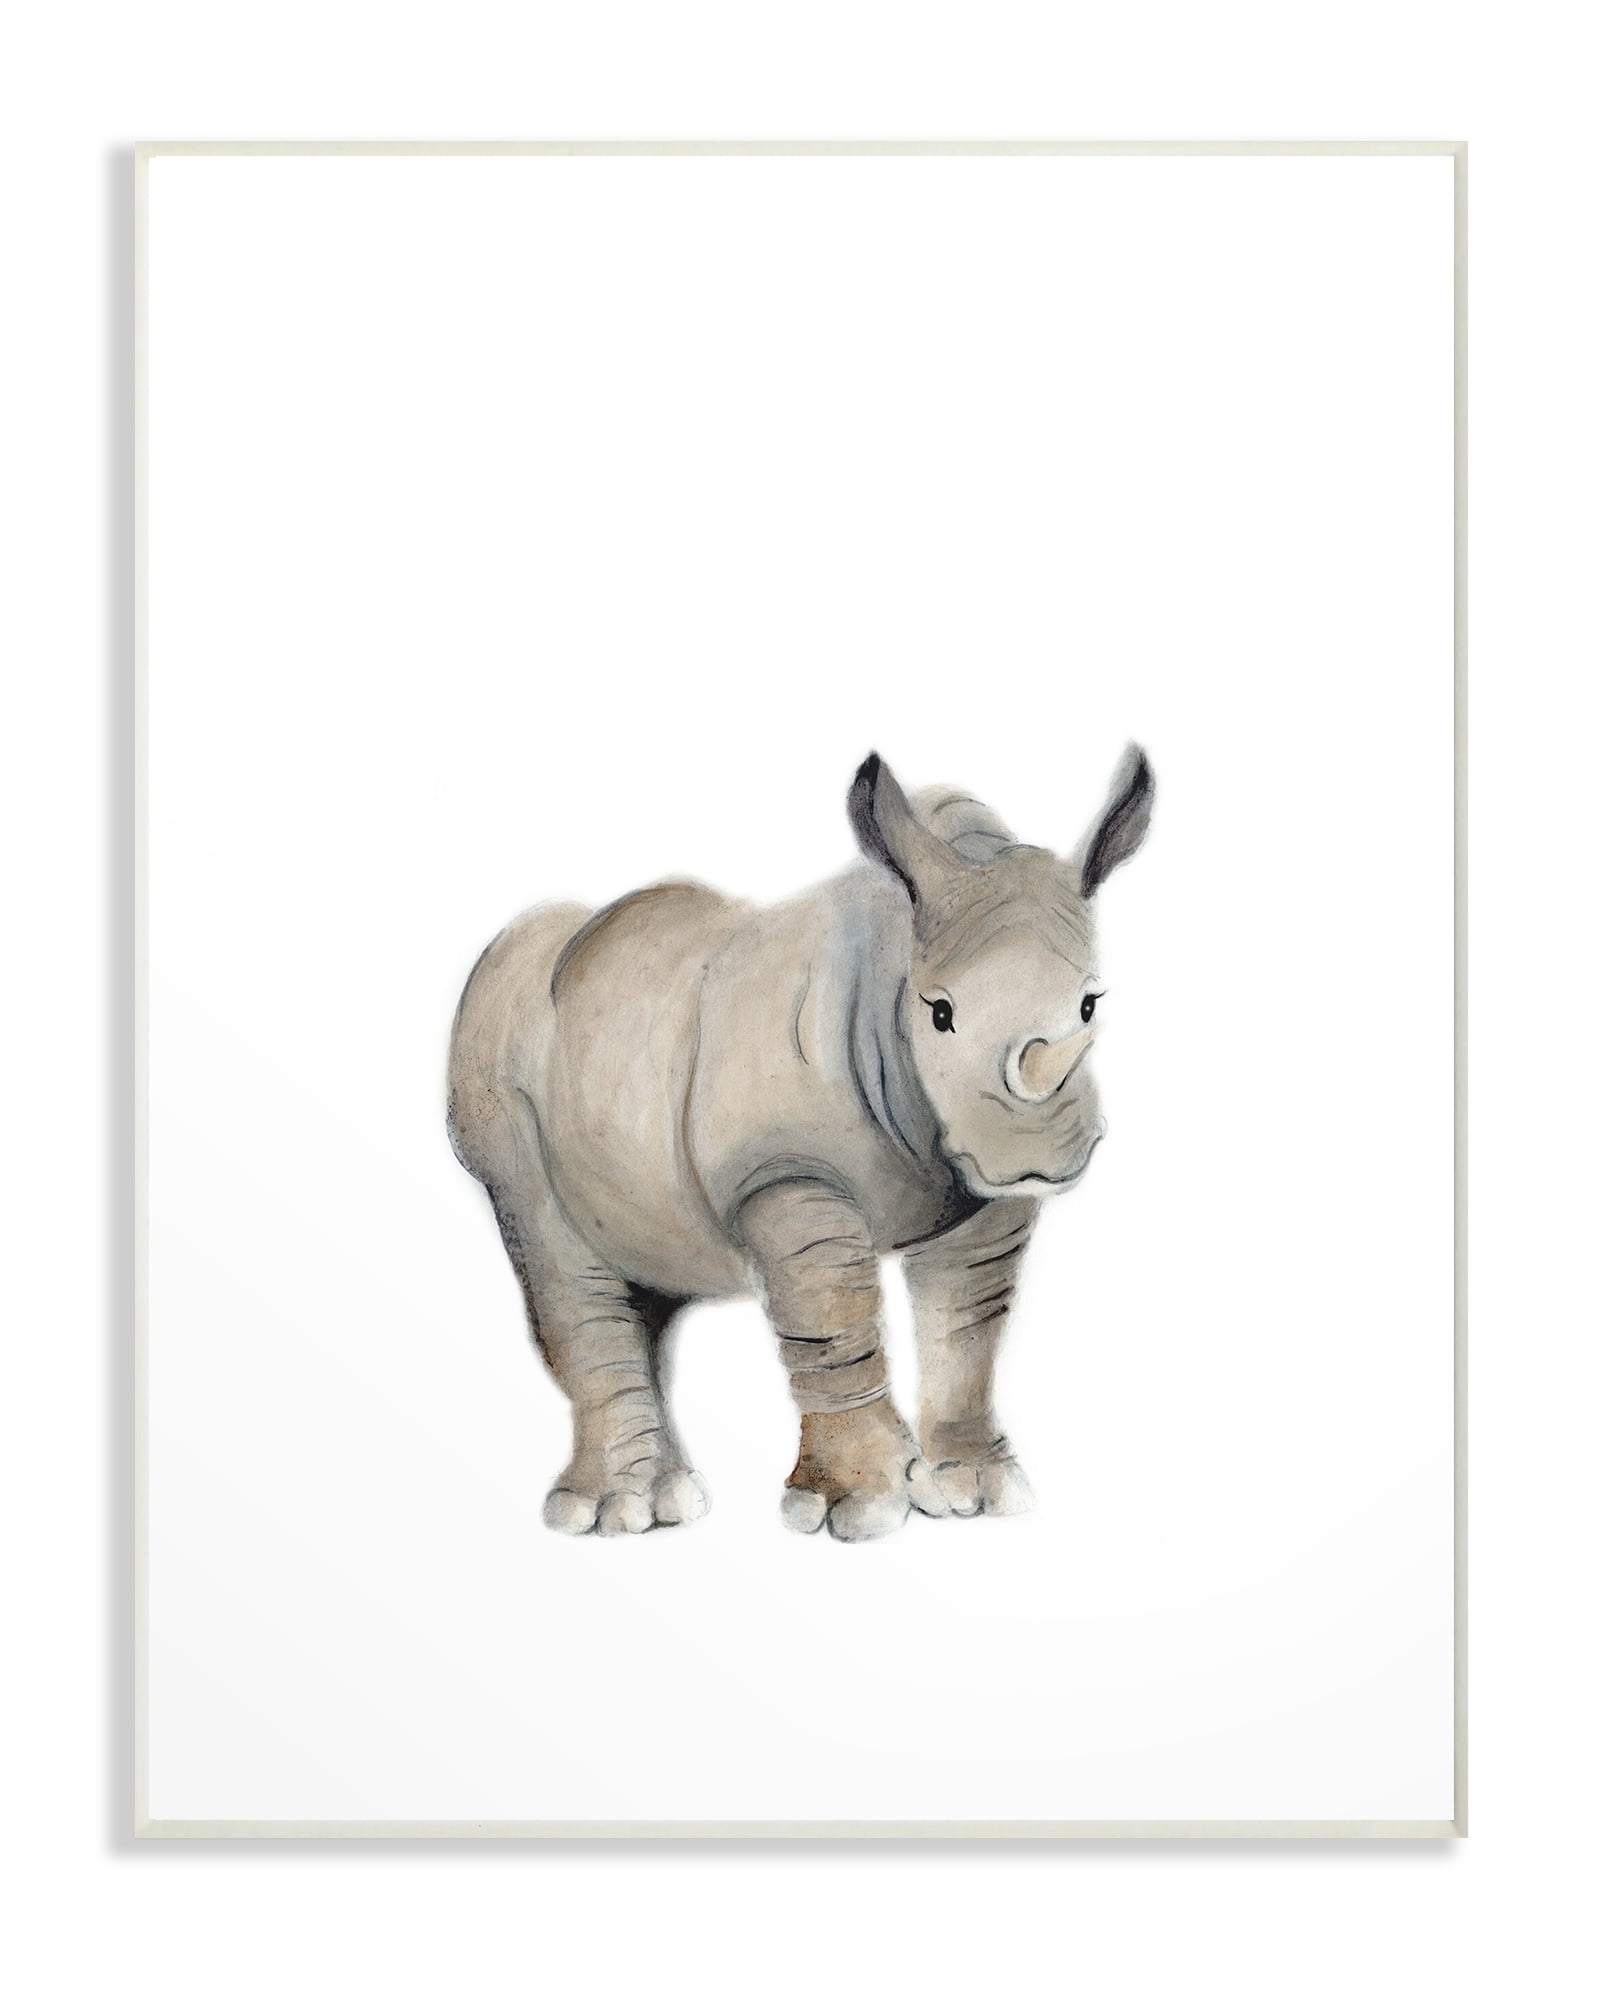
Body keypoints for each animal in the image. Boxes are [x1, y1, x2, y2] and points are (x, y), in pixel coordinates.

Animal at [448, 747, 1154, 1541]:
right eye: (938, 1014)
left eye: (1091, 1005)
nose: (1037, 1156)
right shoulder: (782, 1171)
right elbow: (832, 1318)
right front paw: (865, 1509)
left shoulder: (978, 1186)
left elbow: (970, 1325)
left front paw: (980, 1490)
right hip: (497, 1060)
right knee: (557, 1251)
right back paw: (609, 1514)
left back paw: (669, 1504)